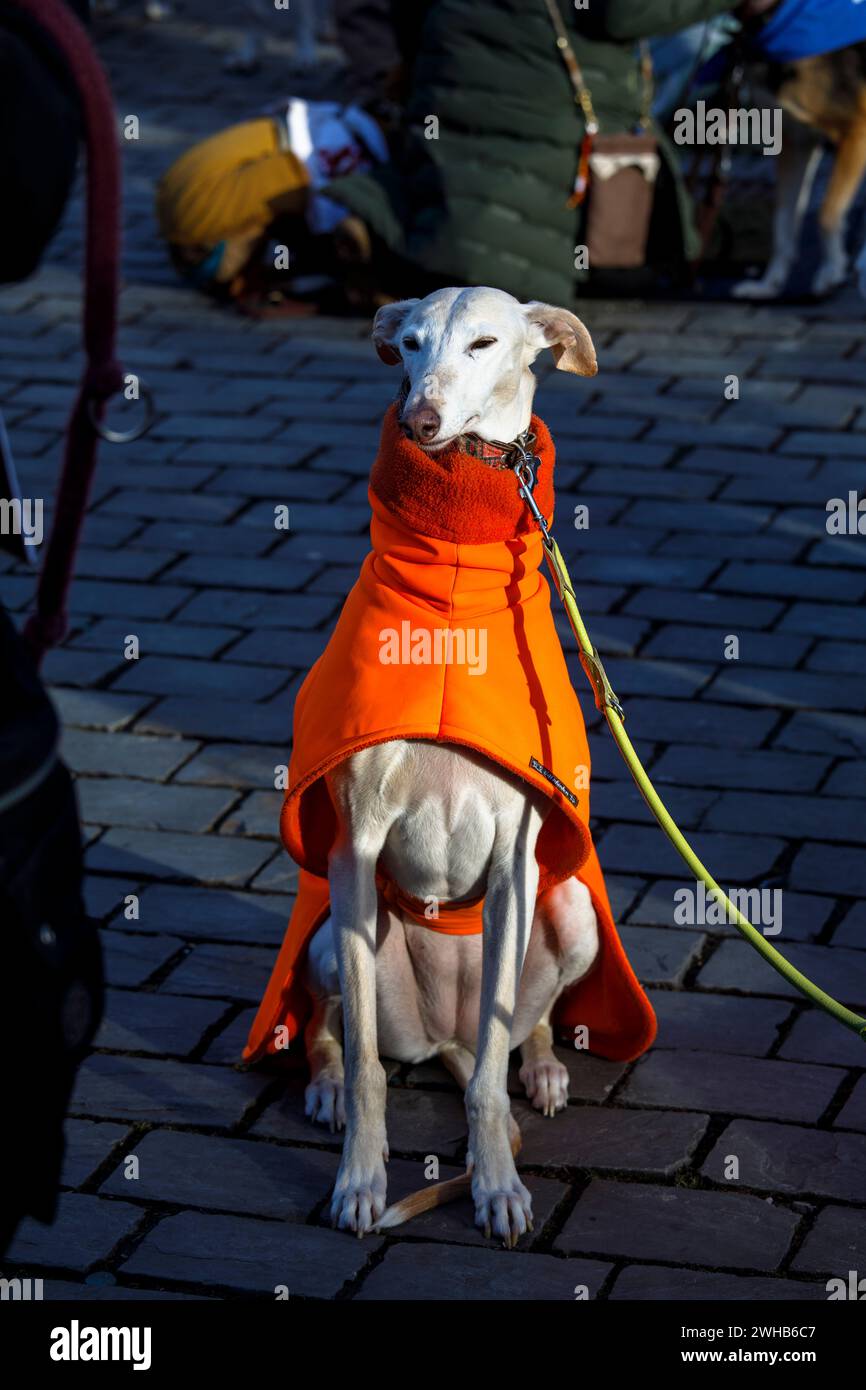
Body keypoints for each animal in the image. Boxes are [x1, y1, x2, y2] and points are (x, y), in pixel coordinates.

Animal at [304, 287, 603, 1245]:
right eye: (407, 342)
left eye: (484, 342)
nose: (423, 419)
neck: (454, 595)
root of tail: (443, 1033)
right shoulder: (353, 851)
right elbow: (369, 1064)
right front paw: (360, 1181)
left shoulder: (516, 858)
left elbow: (483, 1092)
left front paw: (497, 1186)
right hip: (334, 940)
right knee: (337, 1025)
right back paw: (323, 1084)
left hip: (571, 912)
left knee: (508, 1038)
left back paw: (538, 1073)